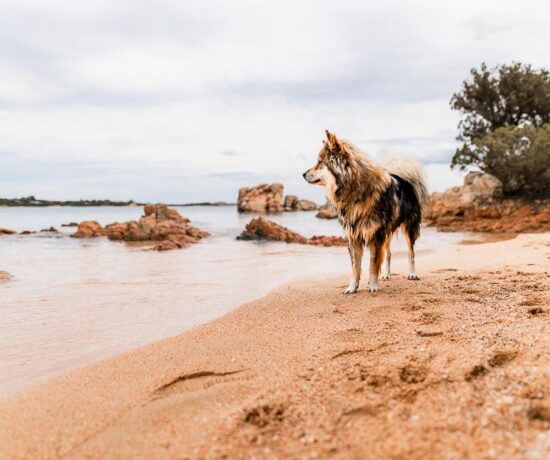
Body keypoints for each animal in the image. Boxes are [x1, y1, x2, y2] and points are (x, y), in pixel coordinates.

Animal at [304, 131, 430, 292]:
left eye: (320, 162)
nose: (303, 174)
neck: (355, 192)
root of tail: (406, 180)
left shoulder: (375, 234)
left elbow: (373, 264)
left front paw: (374, 286)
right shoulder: (354, 236)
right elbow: (355, 267)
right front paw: (352, 287)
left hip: (408, 227)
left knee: (411, 252)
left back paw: (412, 273)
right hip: (388, 231)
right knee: (388, 253)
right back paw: (386, 275)